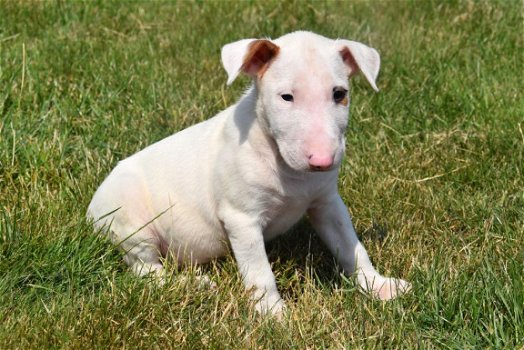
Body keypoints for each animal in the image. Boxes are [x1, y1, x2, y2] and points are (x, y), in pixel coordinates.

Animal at [88, 30, 412, 314]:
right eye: (286, 97)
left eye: (339, 94)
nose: (322, 160)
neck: (288, 169)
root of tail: (90, 210)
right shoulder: (241, 219)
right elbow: (260, 272)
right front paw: (273, 315)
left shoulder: (327, 203)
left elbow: (351, 247)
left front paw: (379, 286)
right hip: (130, 222)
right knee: (146, 269)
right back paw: (193, 286)